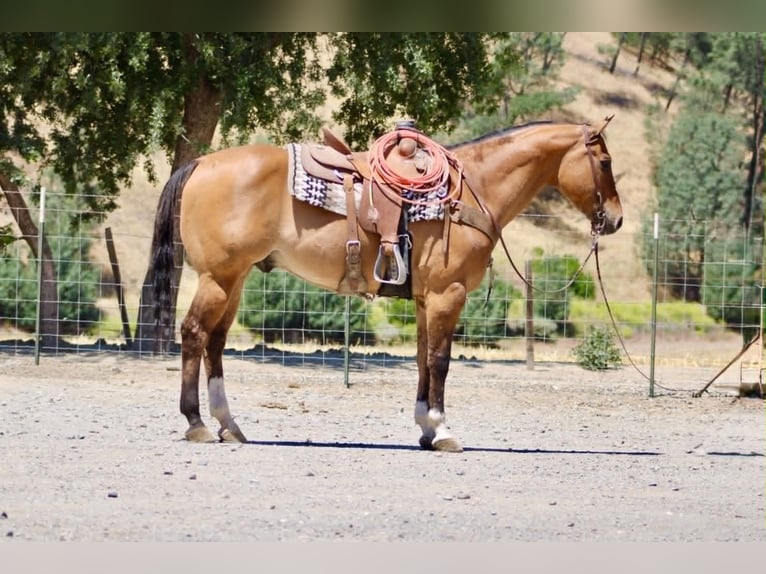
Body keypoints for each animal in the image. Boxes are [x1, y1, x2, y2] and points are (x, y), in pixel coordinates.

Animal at [149, 116, 623, 453]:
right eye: (605, 163)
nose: (616, 220)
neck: (469, 191)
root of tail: (201, 162)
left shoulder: (425, 299)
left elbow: (422, 359)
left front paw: (425, 429)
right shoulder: (448, 295)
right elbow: (440, 362)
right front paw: (443, 430)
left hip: (235, 277)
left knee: (214, 341)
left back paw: (229, 424)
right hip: (219, 277)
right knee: (194, 334)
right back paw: (197, 423)